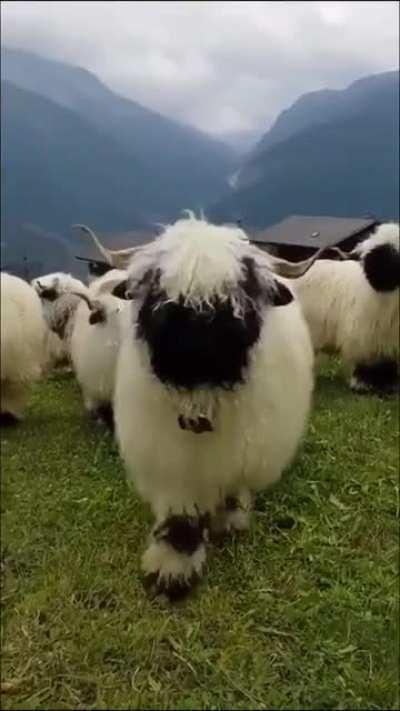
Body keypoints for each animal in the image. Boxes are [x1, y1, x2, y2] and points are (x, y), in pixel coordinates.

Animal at [107, 214, 322, 600]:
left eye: (239, 291)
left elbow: (233, 488)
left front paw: (230, 518)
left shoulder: (242, 453)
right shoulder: (171, 460)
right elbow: (180, 514)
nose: (194, 343)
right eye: (157, 287)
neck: (201, 398)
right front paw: (172, 568)